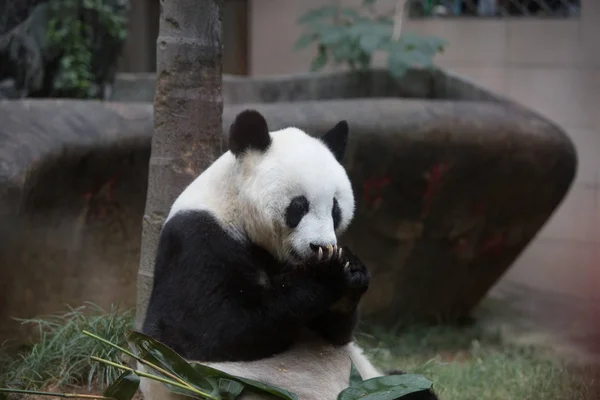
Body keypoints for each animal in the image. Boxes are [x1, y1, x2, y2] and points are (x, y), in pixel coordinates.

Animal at [138, 109, 438, 400]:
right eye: (299, 206)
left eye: (335, 209)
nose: (320, 246)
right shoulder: (196, 241)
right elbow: (214, 327)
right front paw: (328, 274)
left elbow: (335, 334)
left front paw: (351, 271)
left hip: (378, 383)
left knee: (413, 387)